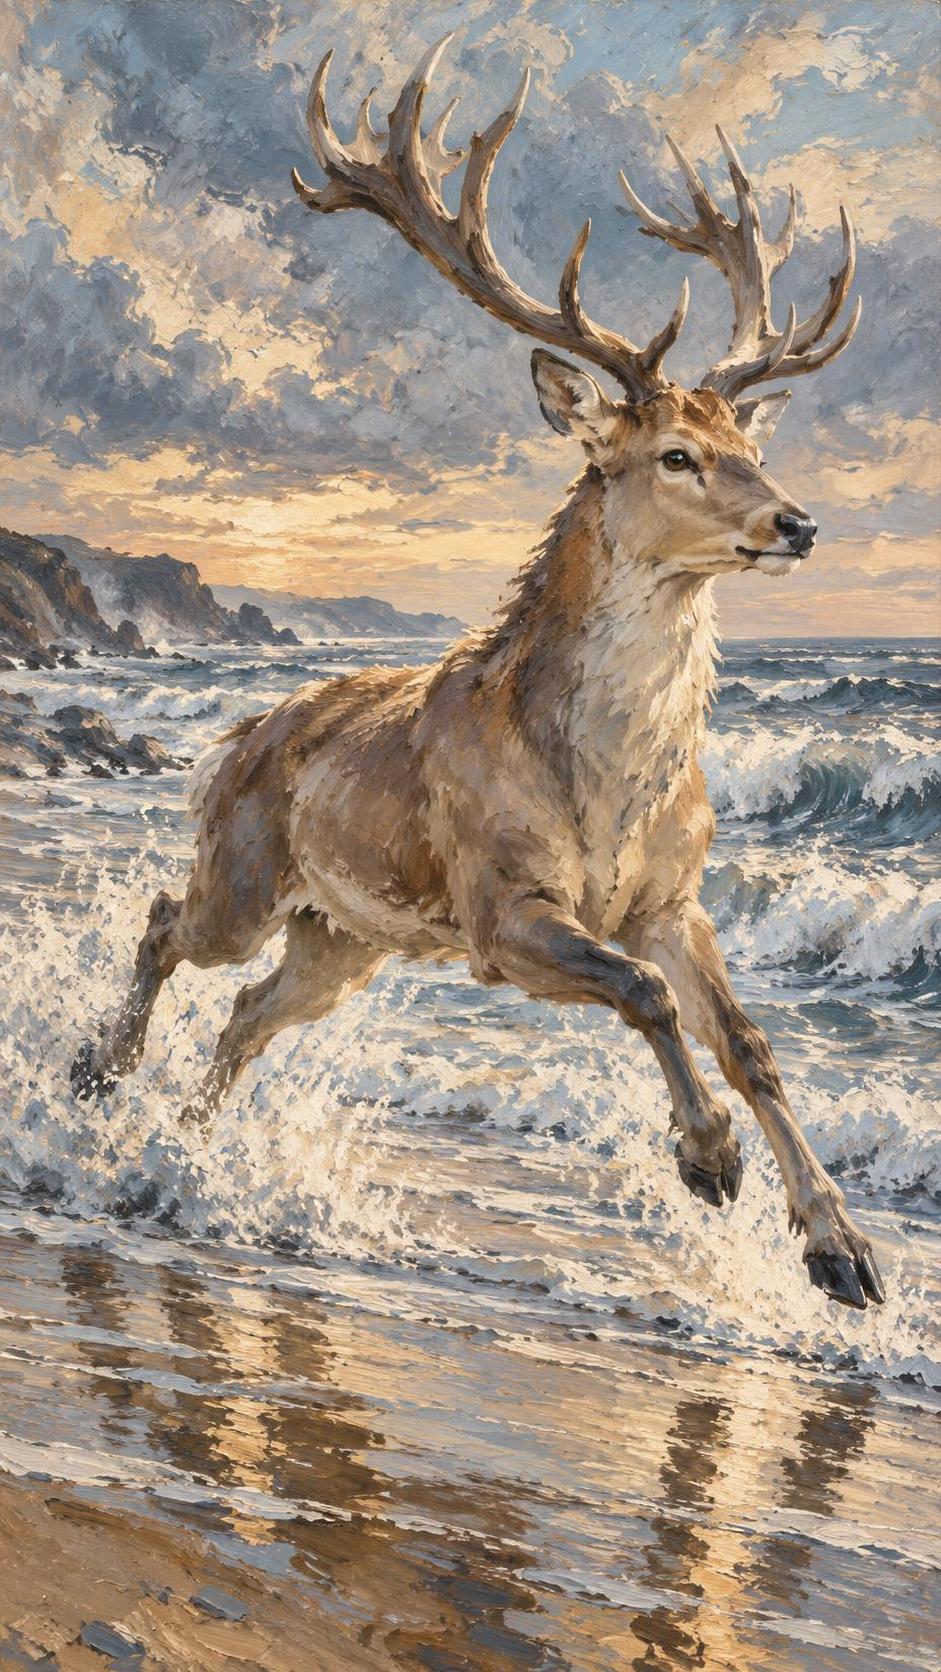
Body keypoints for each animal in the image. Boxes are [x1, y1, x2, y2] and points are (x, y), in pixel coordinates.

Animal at [72, 38, 885, 1313]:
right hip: (245, 877)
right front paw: (705, 1158)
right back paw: (99, 1078)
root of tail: (240, 733)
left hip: (342, 937)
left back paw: (185, 1155)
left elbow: (751, 1041)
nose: (795, 522)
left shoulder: (672, 898)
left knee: (246, 1017)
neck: (604, 791)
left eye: (752, 447)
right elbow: (643, 994)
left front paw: (840, 1251)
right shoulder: (502, 909)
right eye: (675, 455)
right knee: (167, 925)